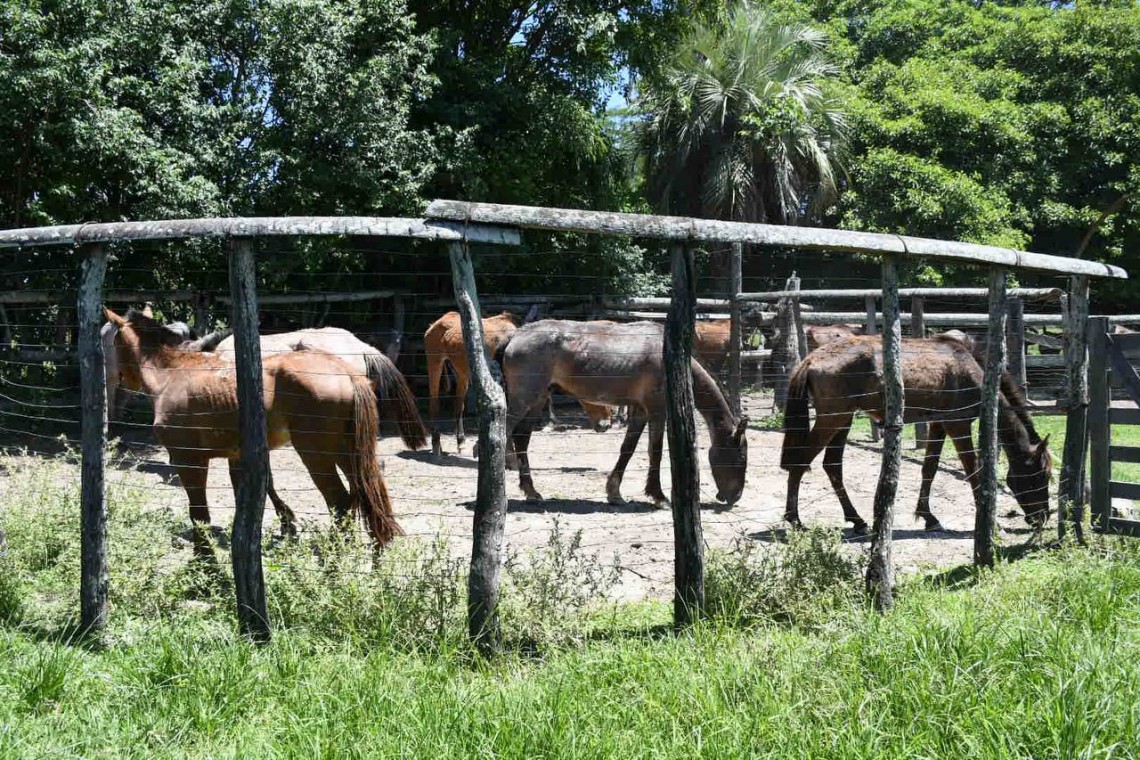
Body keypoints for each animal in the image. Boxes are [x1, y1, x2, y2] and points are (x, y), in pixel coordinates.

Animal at [104, 307, 405, 553]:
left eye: (114, 340)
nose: (121, 380)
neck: (172, 374)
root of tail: (348, 374)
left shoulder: (188, 459)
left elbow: (199, 514)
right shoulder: (237, 456)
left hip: (316, 454)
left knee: (341, 502)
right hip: (347, 451)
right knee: (365, 493)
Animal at [424, 310, 612, 456]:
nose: (606, 424)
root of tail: (435, 324)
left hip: (461, 373)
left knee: (458, 404)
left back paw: (460, 443)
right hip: (435, 362)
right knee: (434, 401)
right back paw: (436, 445)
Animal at [499, 320, 748, 507]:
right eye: (740, 456)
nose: (734, 497)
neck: (670, 360)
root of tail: (515, 335)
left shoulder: (639, 411)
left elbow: (628, 449)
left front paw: (614, 492)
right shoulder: (657, 410)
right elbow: (655, 451)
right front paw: (659, 496)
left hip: (538, 399)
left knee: (521, 438)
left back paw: (531, 492)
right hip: (524, 399)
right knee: (505, 434)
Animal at [780, 334, 1052, 534]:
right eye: (1042, 476)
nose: (1042, 518)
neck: (971, 370)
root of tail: (811, 359)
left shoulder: (939, 424)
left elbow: (929, 468)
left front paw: (928, 517)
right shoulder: (958, 424)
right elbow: (973, 471)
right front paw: (991, 524)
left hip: (843, 420)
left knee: (832, 466)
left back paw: (857, 520)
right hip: (832, 419)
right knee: (801, 461)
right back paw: (794, 519)